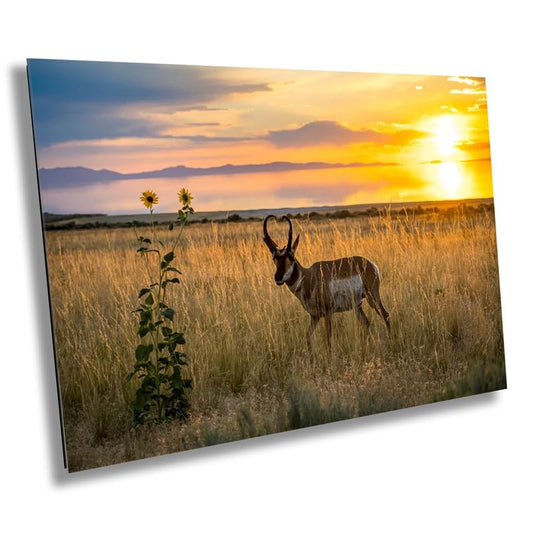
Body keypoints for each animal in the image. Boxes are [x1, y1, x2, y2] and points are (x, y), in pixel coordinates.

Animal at [262, 215, 390, 350]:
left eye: (291, 256)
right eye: (274, 258)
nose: (278, 277)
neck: (309, 277)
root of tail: (371, 264)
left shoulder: (328, 314)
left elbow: (329, 341)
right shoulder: (315, 317)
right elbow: (307, 338)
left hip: (373, 298)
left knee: (385, 315)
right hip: (358, 306)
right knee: (367, 323)